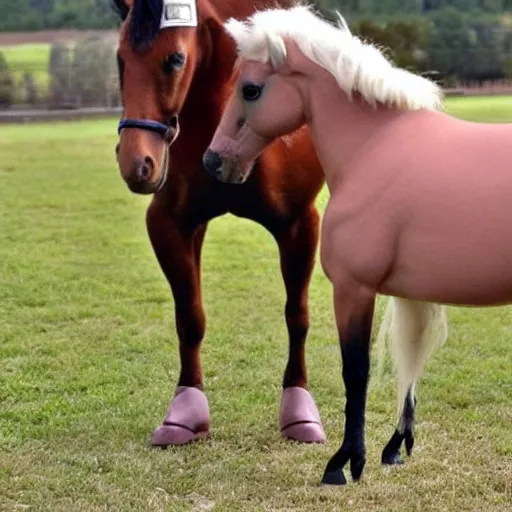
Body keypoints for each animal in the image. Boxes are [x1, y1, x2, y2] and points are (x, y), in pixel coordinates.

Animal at [114, 0, 326, 446]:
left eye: (175, 59)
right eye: (121, 58)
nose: (137, 164)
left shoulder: (299, 225)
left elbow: (296, 315)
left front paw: (299, 409)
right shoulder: (171, 226)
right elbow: (190, 318)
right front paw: (184, 411)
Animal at [204, 5, 512, 484]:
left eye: (250, 89)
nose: (213, 161)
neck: (372, 149)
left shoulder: (354, 289)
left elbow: (357, 372)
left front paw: (345, 462)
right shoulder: (409, 294)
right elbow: (408, 367)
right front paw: (394, 448)